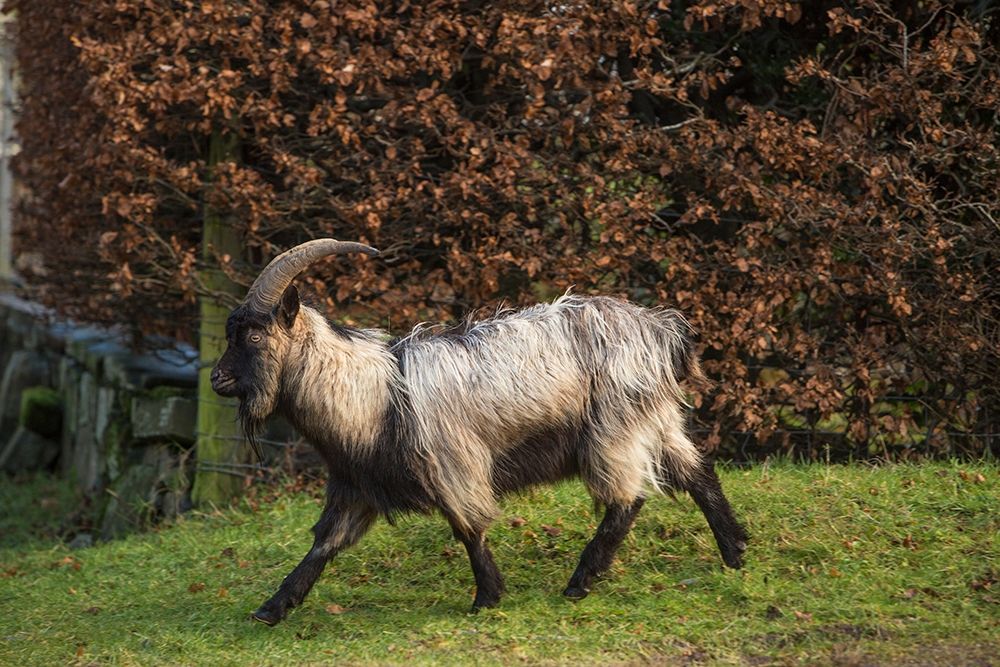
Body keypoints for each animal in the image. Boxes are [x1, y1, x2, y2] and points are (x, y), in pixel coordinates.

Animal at [210, 239, 748, 626]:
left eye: (253, 335)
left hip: (613, 426)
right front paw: (272, 607)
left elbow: (469, 526)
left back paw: (581, 580)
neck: (374, 394)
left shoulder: (454, 465)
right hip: (656, 419)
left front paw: (487, 597)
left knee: (628, 497)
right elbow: (324, 543)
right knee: (696, 471)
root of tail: (660, 331)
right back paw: (735, 551)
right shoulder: (357, 484)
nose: (216, 378)